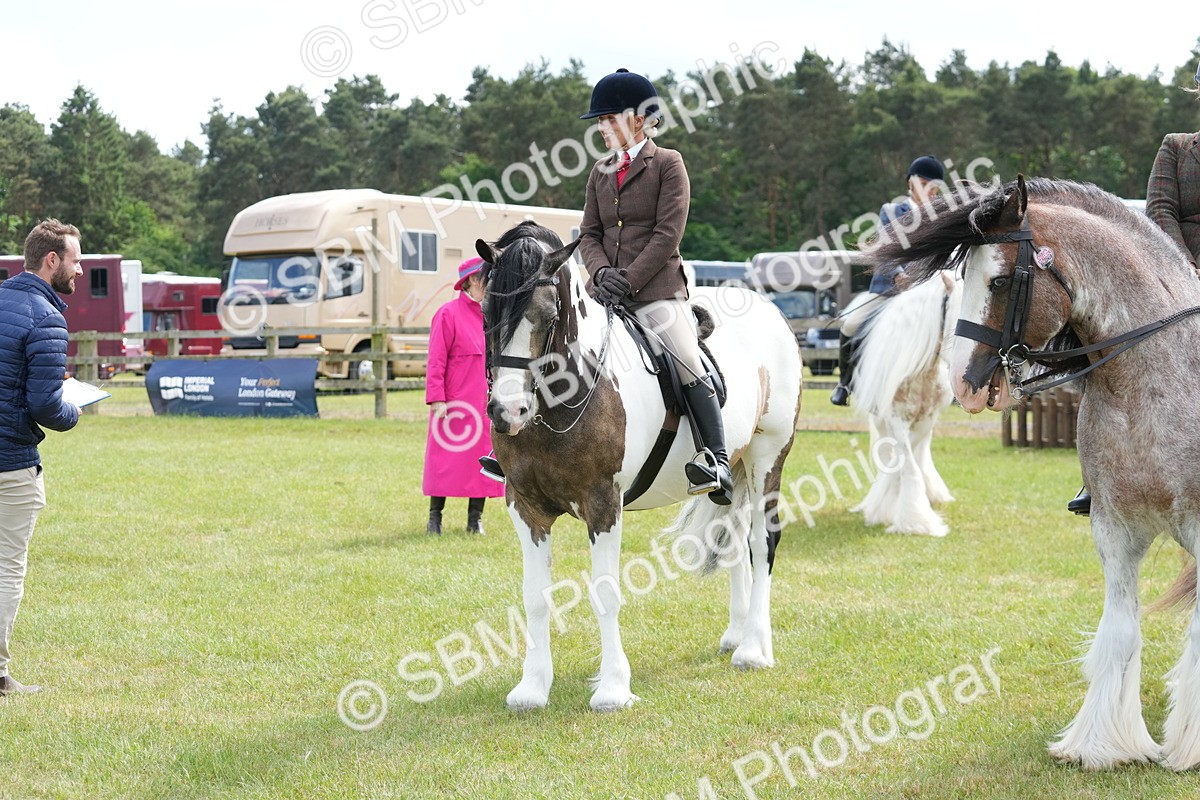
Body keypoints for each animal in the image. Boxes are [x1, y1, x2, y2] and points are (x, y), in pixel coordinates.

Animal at [475, 221, 803, 712]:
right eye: (486, 314)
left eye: (548, 317)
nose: (507, 412)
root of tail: (770, 312)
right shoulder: (525, 506)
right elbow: (535, 597)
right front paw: (532, 688)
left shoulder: (603, 504)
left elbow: (605, 592)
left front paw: (612, 688)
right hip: (734, 470)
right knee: (734, 540)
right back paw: (736, 633)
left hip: (768, 458)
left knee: (763, 543)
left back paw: (753, 649)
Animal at [846, 271, 962, 537]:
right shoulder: (895, 418)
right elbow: (905, 465)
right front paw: (915, 521)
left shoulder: (927, 419)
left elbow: (909, 460)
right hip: (881, 420)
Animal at [870, 175, 1200, 770]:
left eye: (1000, 281)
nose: (963, 384)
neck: (1153, 384)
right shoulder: (1114, 528)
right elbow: (1120, 631)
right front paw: (1100, 745)